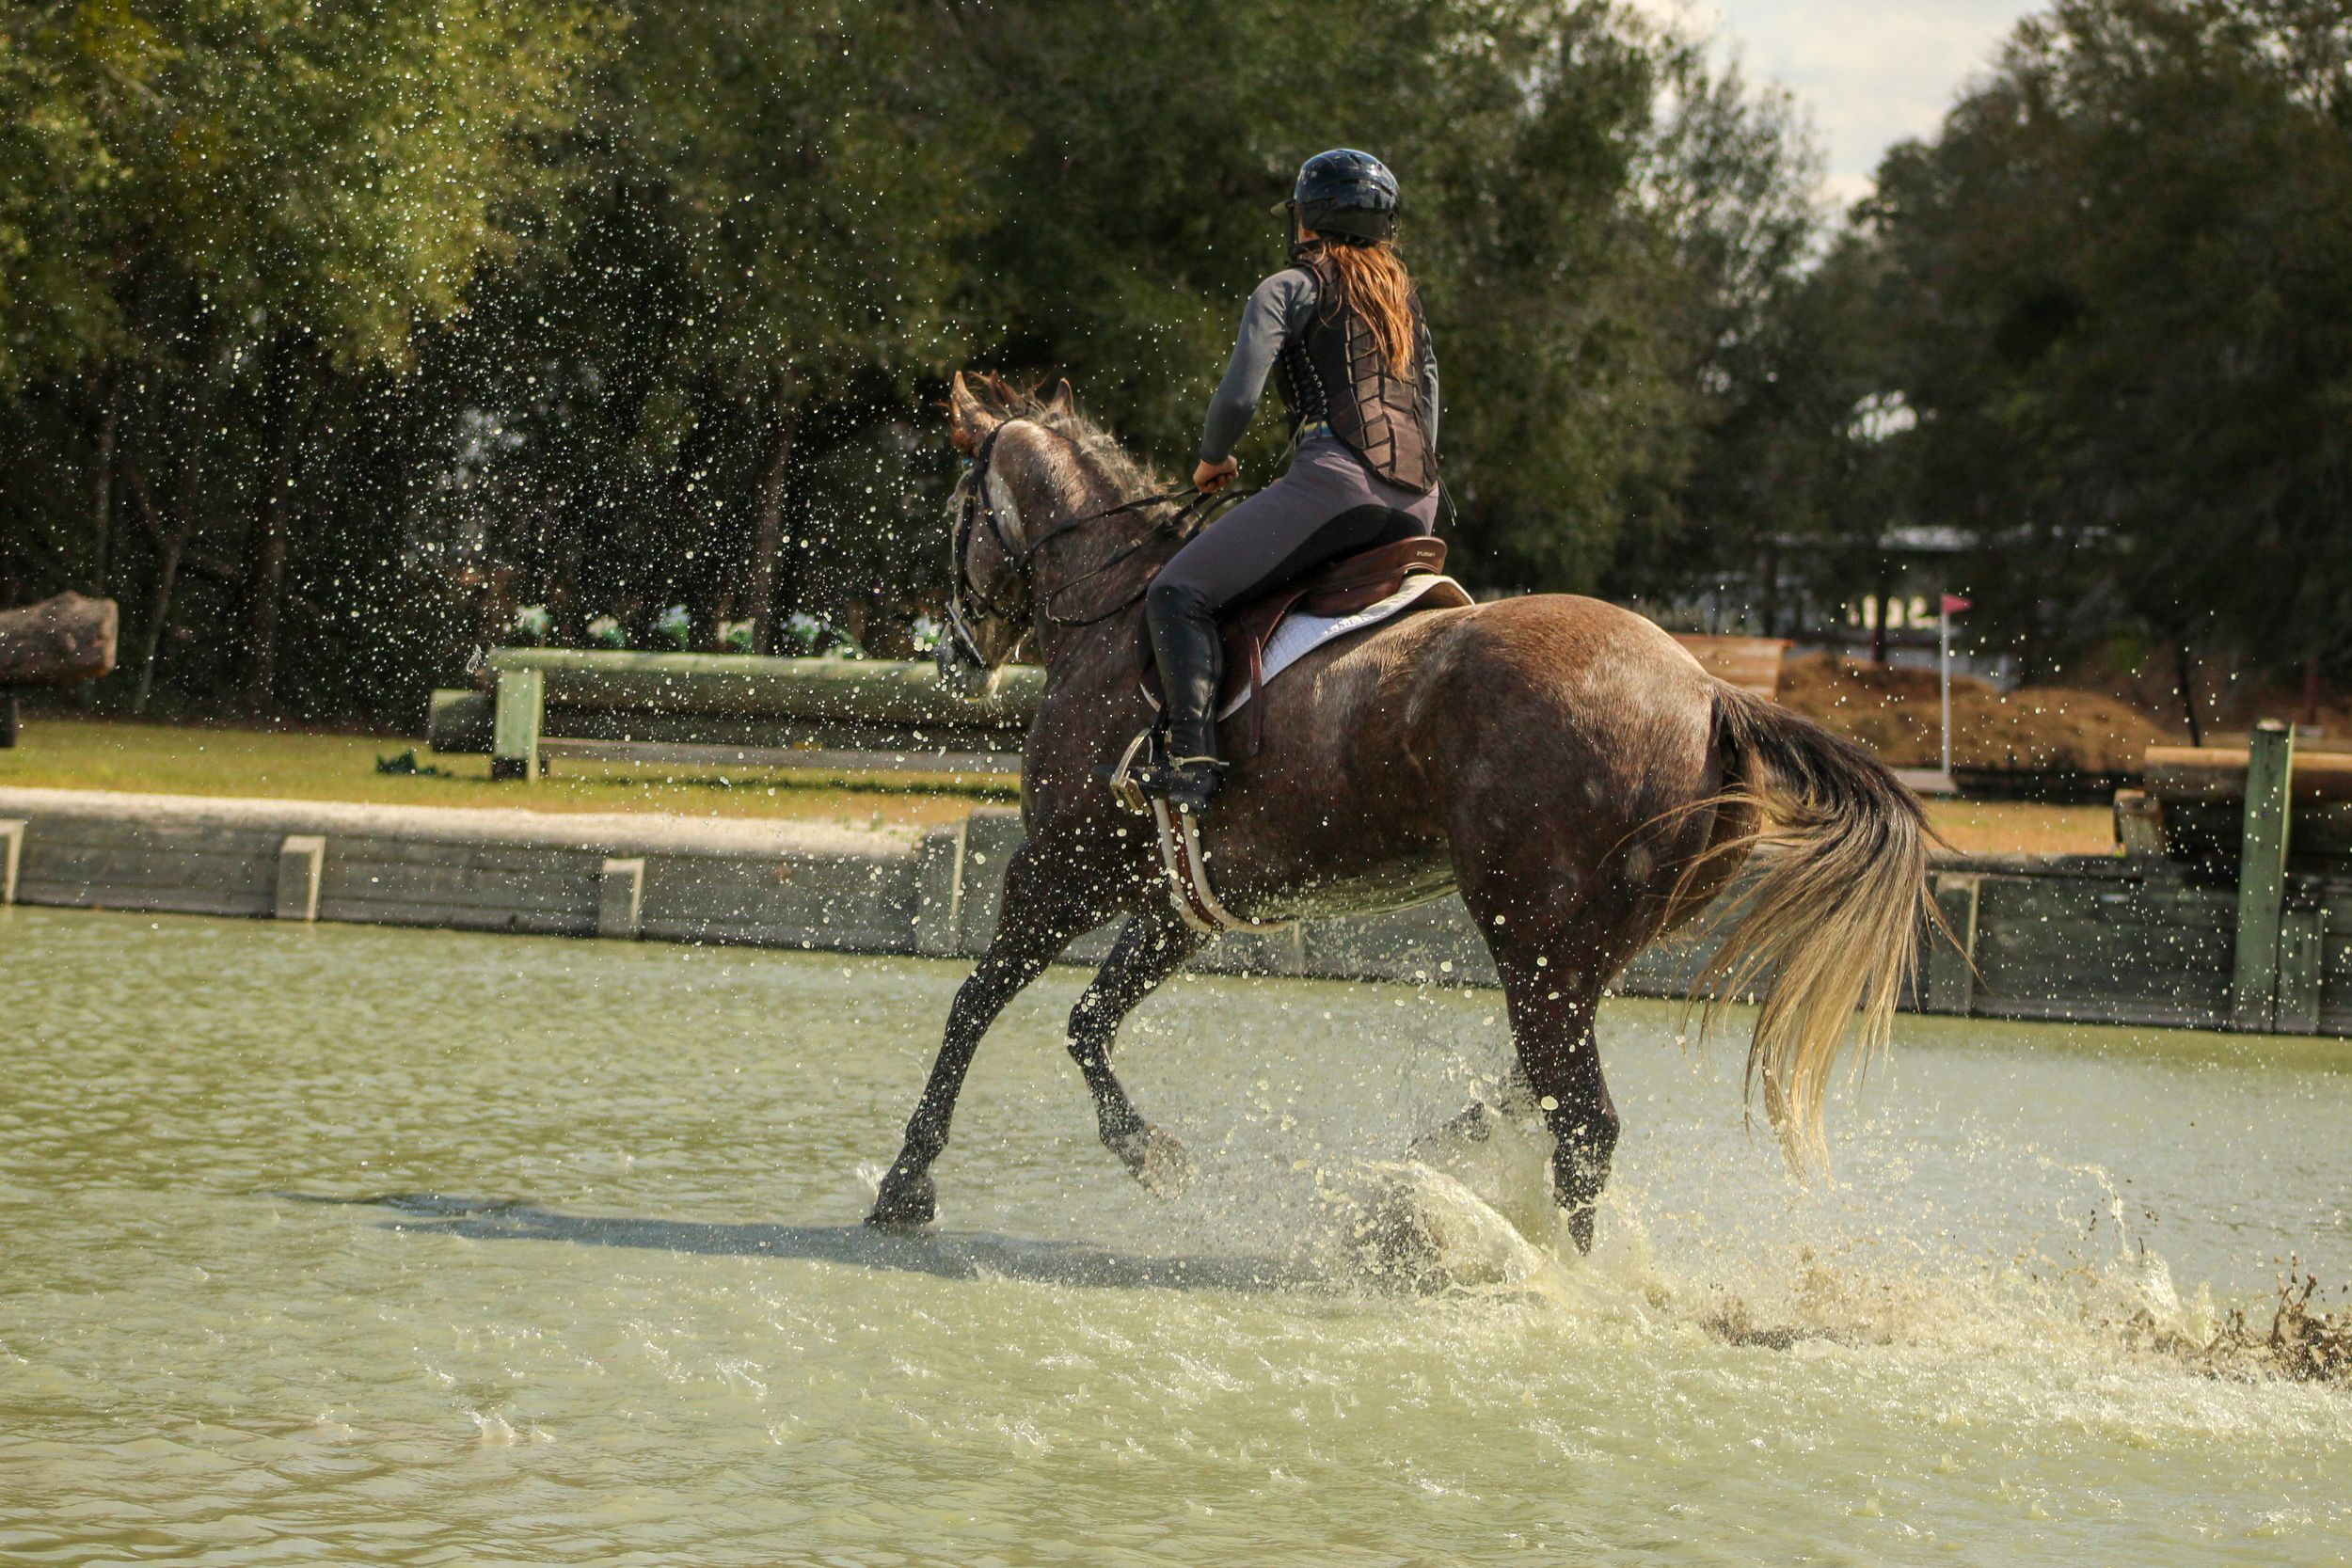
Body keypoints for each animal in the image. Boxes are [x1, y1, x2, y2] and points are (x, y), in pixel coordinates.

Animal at [866, 372, 1934, 1252]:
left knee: (1580, 1118)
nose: (952, 654)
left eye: (953, 509)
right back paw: (1453, 1163)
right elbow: (1088, 1021)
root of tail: (1708, 688)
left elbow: (974, 1004)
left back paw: (1554, 1268)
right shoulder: (1178, 901)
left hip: (1530, 936)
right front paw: (1151, 1154)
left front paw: (907, 1182)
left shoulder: (1059, 866)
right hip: (1586, 946)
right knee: (1539, 1088)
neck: (1116, 608)